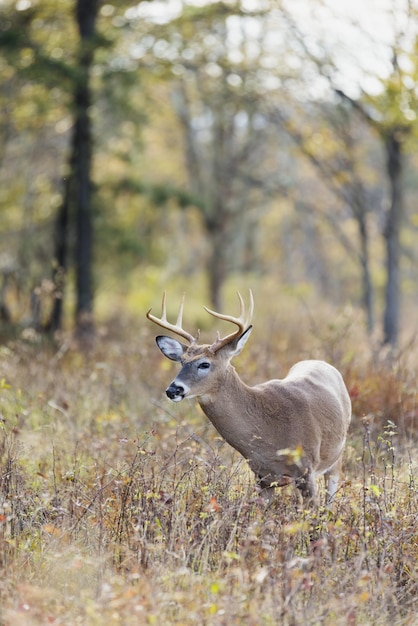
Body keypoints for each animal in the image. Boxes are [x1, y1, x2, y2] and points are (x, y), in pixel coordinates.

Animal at [145, 290, 352, 504]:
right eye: (182, 362)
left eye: (204, 364)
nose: (173, 390)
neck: (270, 431)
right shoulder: (263, 478)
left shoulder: (307, 469)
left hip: (337, 456)